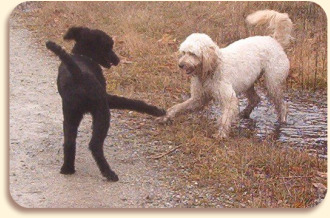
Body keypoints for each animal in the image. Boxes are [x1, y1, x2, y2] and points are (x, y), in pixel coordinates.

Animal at [45, 27, 166, 181]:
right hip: (102, 113)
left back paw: (67, 168)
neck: (82, 55)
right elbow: (131, 102)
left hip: (70, 115)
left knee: (69, 142)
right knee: (95, 145)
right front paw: (157, 110)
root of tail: (78, 75)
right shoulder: (107, 99)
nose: (118, 60)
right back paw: (109, 173)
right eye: (109, 46)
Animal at [160, 9, 292, 138]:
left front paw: (221, 134)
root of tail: (274, 41)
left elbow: (224, 119)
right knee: (255, 99)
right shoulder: (199, 98)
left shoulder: (229, 99)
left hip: (272, 84)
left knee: (282, 105)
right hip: (249, 83)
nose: (181, 65)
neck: (211, 69)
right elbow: (178, 107)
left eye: (192, 54)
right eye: (183, 52)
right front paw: (166, 116)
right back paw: (244, 113)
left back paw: (282, 121)